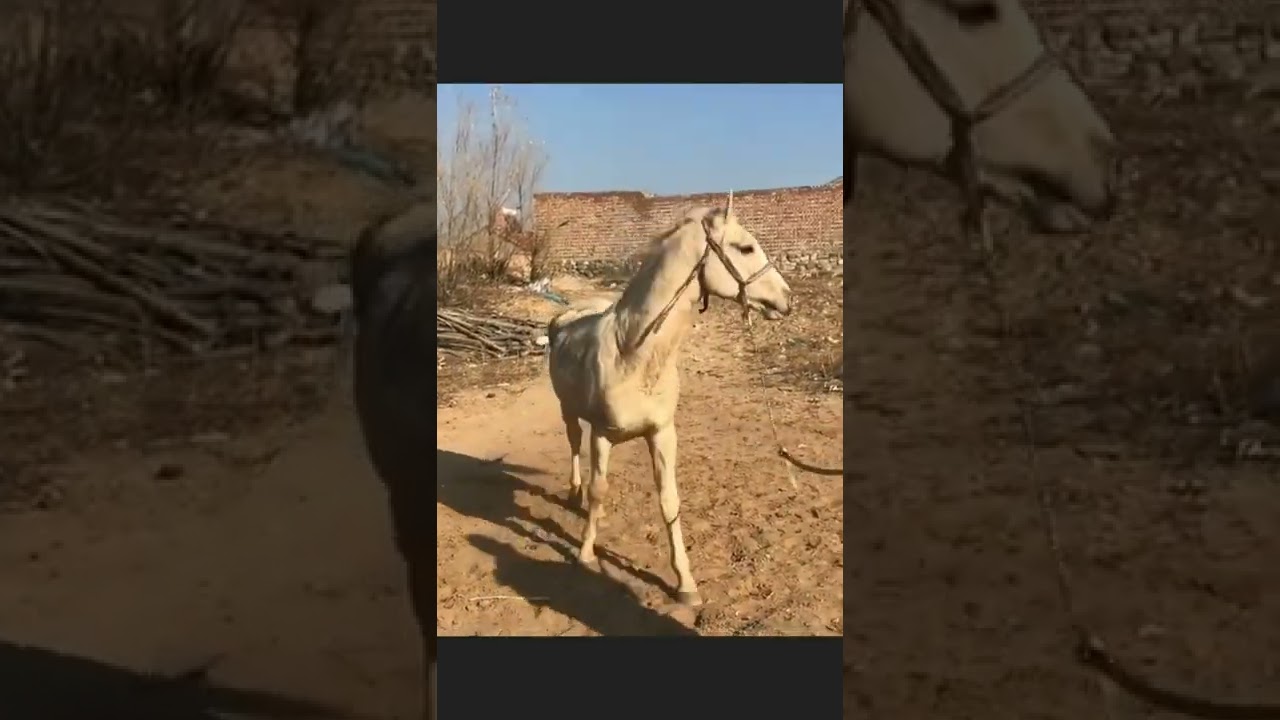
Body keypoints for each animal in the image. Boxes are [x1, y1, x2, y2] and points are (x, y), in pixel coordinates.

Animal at [545, 202, 793, 607]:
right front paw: (585, 554)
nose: (788, 298)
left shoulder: (662, 433)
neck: (633, 353)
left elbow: (669, 502)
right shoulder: (602, 434)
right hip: (568, 412)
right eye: (745, 248)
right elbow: (600, 491)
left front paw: (685, 584)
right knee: (573, 448)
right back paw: (573, 492)